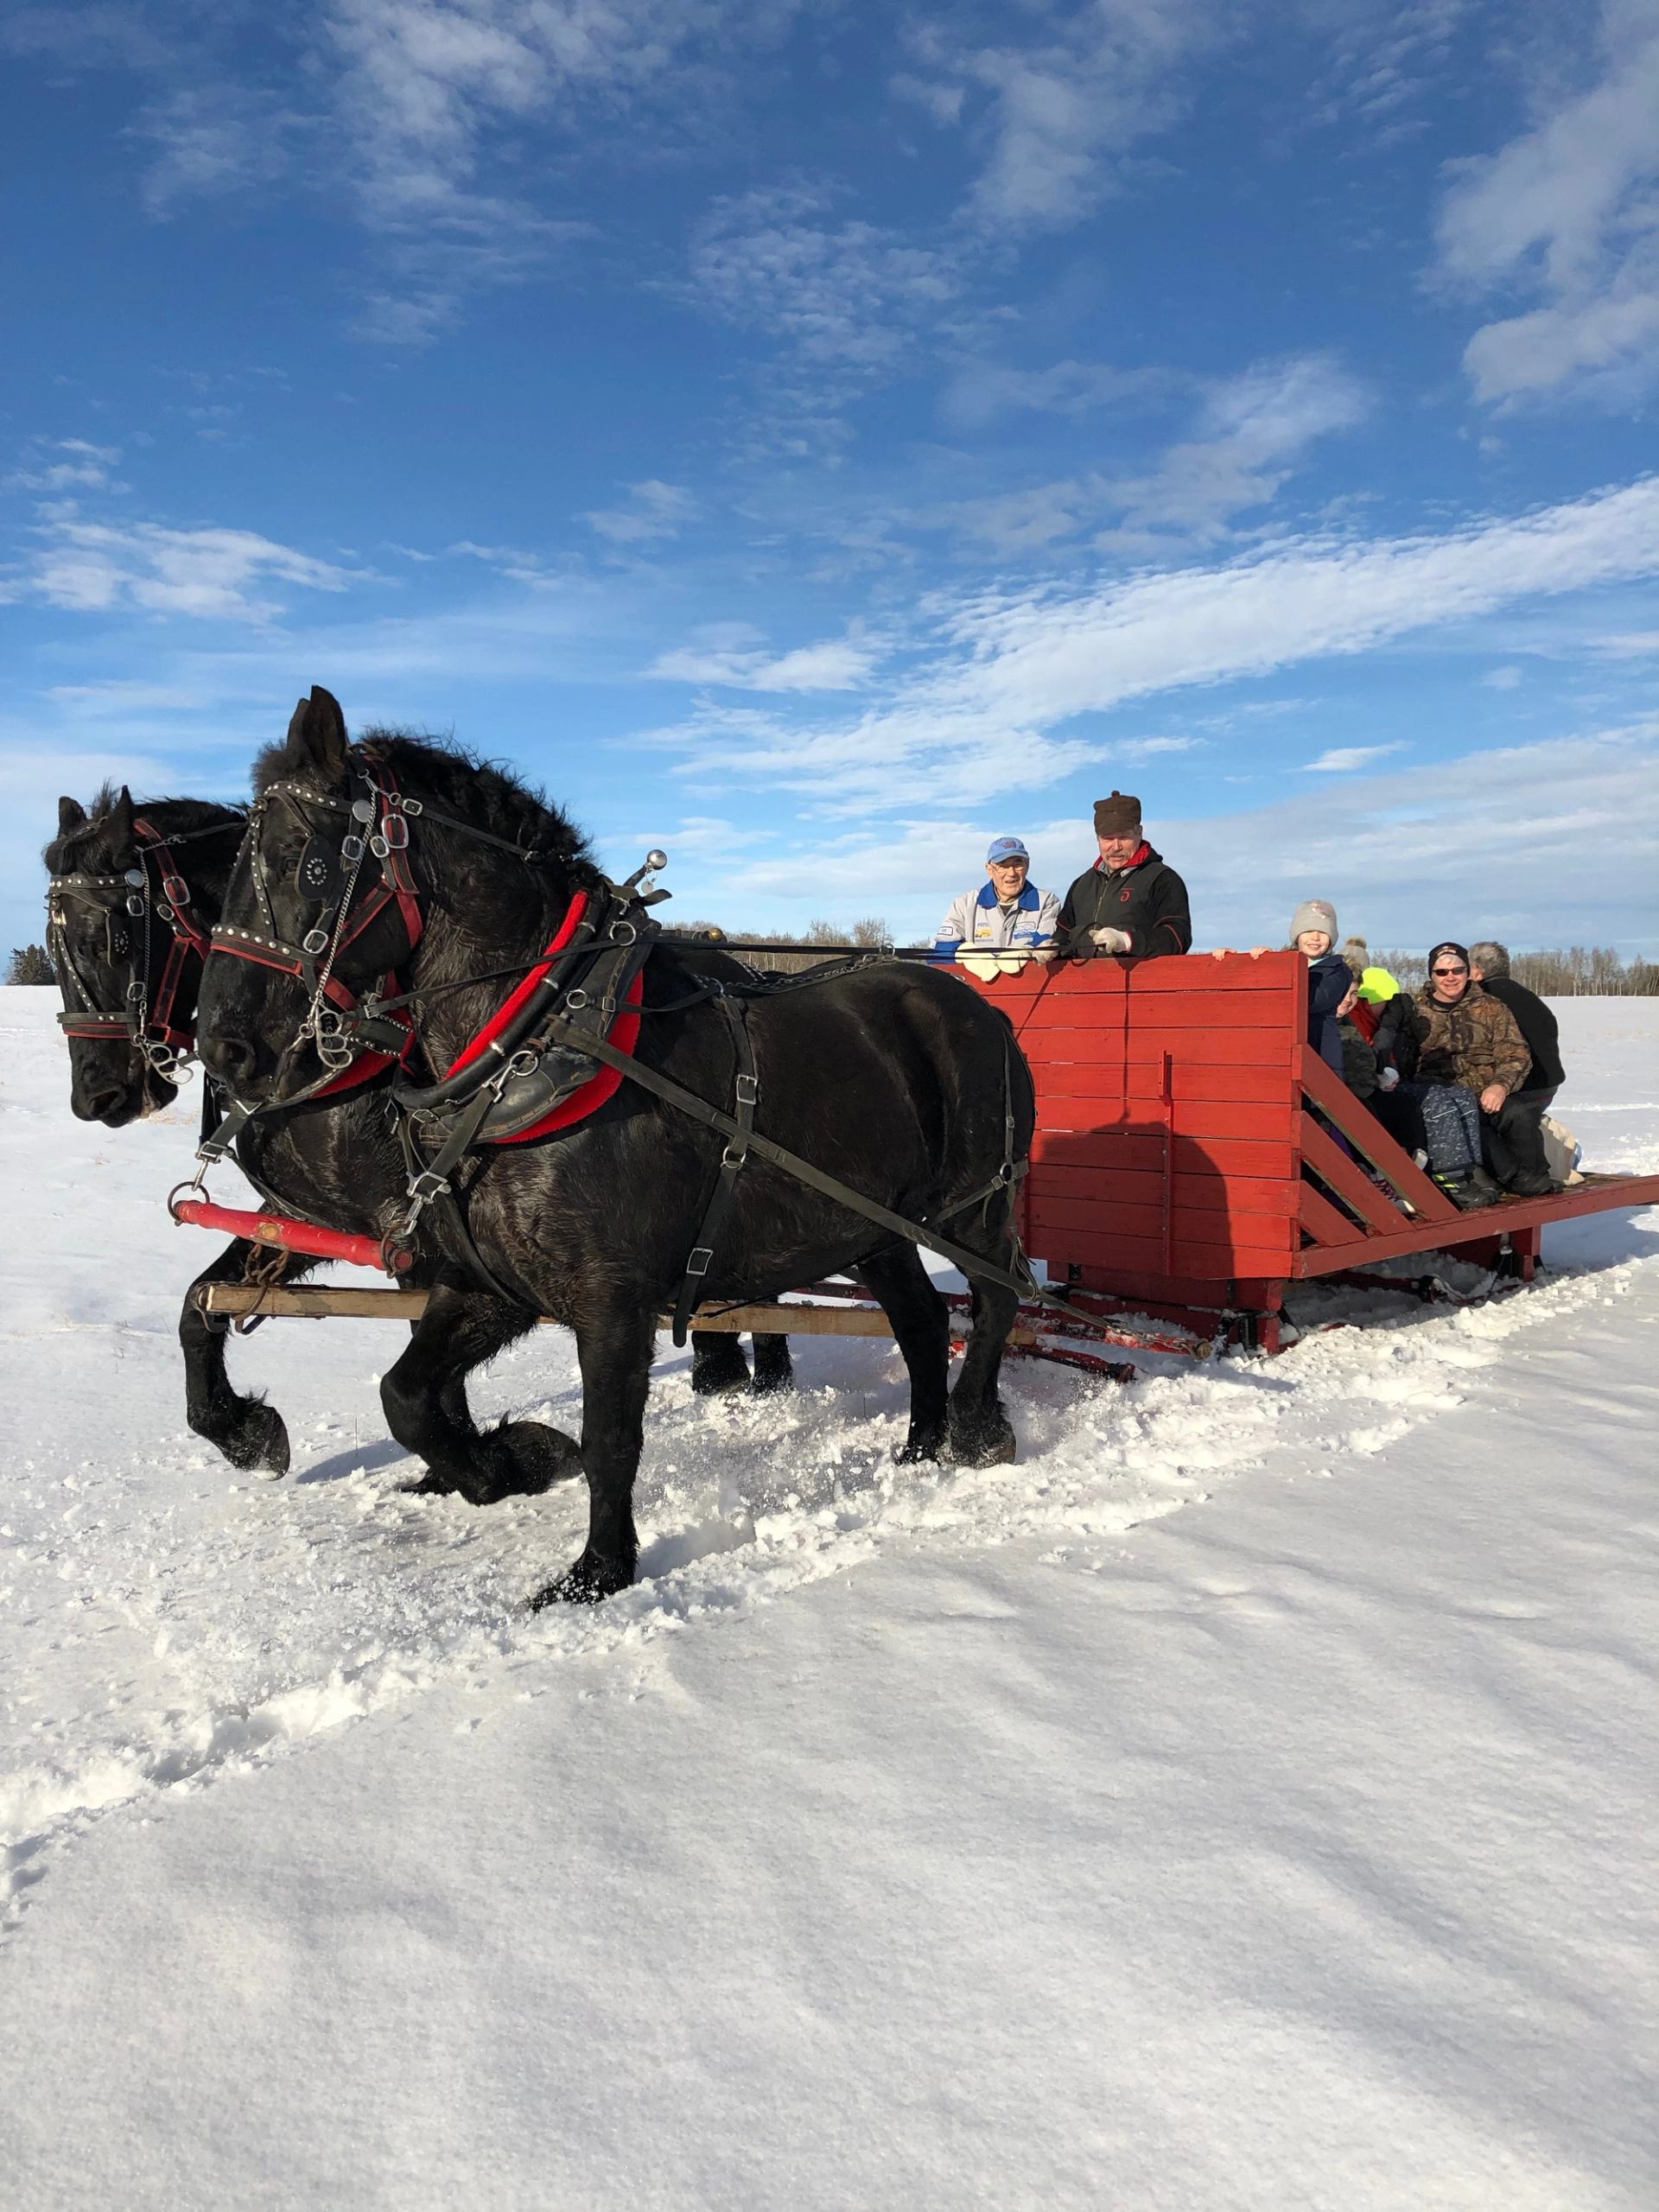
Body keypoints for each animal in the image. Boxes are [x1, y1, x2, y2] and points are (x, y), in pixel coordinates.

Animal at [196, 688, 1034, 1605]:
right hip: (874, 1227)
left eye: (301, 862)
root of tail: (981, 1008)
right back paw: (919, 1448)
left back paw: (974, 1432)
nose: (225, 1049)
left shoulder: (612, 1299)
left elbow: (610, 1439)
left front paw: (596, 1572)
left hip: (971, 1207)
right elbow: (405, 1397)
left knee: (996, 1298)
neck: (541, 1041)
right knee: (921, 1319)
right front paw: (510, 1463)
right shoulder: (491, 1283)